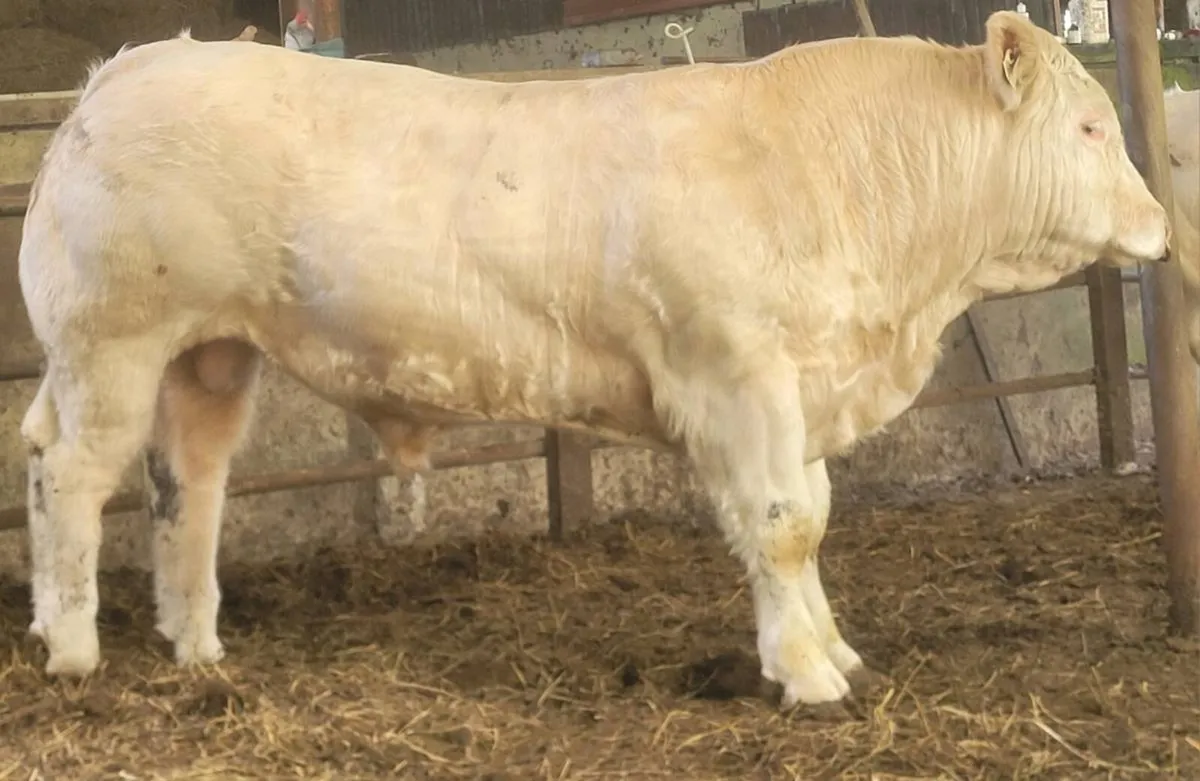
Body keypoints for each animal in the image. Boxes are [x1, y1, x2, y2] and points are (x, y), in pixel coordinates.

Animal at [17, 11, 1169, 711]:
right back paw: (72, 645)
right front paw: (806, 674)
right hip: (110, 340)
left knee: (185, 479)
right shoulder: (736, 376)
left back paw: (195, 642)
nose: (1162, 228)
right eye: (1091, 125)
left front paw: (832, 647)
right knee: (72, 472)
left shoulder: (801, 387)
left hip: (209, 350)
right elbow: (780, 529)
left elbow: (813, 520)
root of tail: (122, 71)